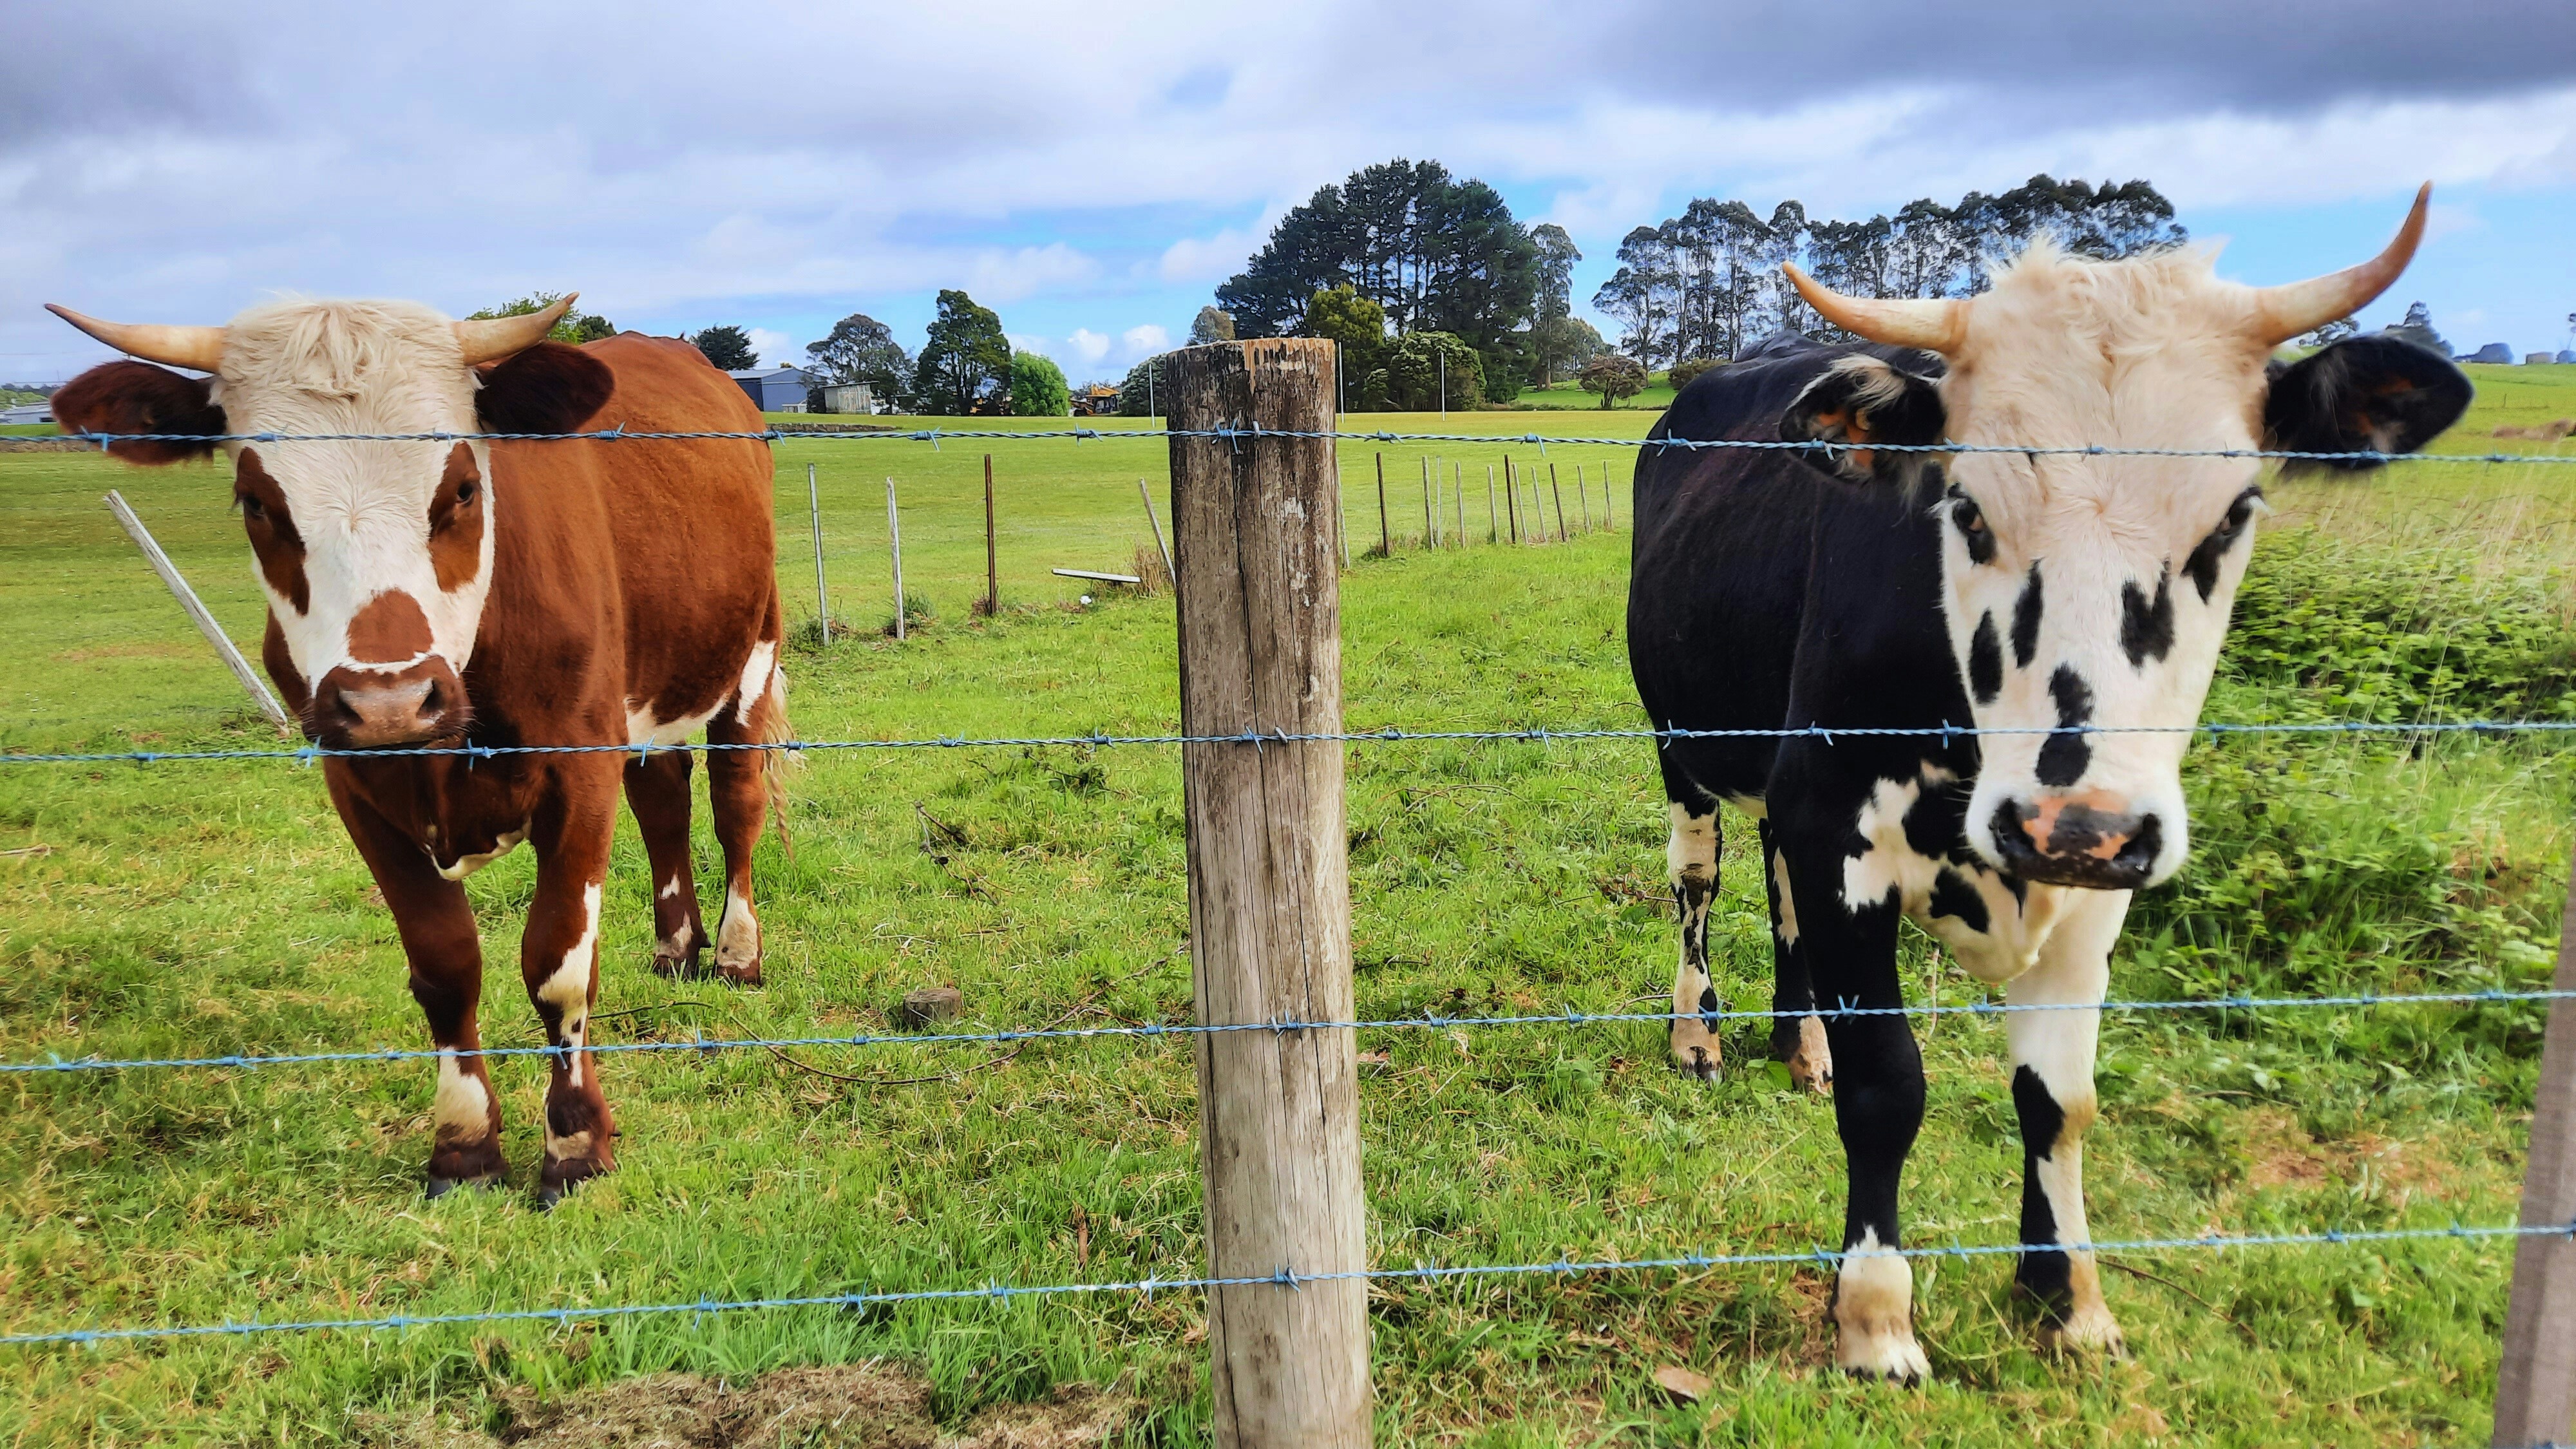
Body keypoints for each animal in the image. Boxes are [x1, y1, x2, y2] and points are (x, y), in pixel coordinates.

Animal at [48, 296, 789, 1206]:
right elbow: (444, 967)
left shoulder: (579, 768)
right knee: (664, 798)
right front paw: (464, 1146)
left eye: (463, 487)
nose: (389, 700)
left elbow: (557, 965)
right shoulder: (358, 787)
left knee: (732, 801)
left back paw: (735, 952)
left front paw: (575, 1143)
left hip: (751, 648)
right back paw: (675, 947)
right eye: (255, 500)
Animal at [1627, 187, 2470, 1379]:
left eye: (2235, 511)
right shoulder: (1838, 826)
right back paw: (1697, 1035)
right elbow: (1890, 1086)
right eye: (1966, 506)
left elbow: (2058, 1101)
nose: (2071, 820)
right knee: (1697, 883)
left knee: (1773, 885)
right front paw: (1875, 1316)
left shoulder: (2091, 881)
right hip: (1682, 745)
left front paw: (2067, 1296)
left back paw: (1799, 1044)